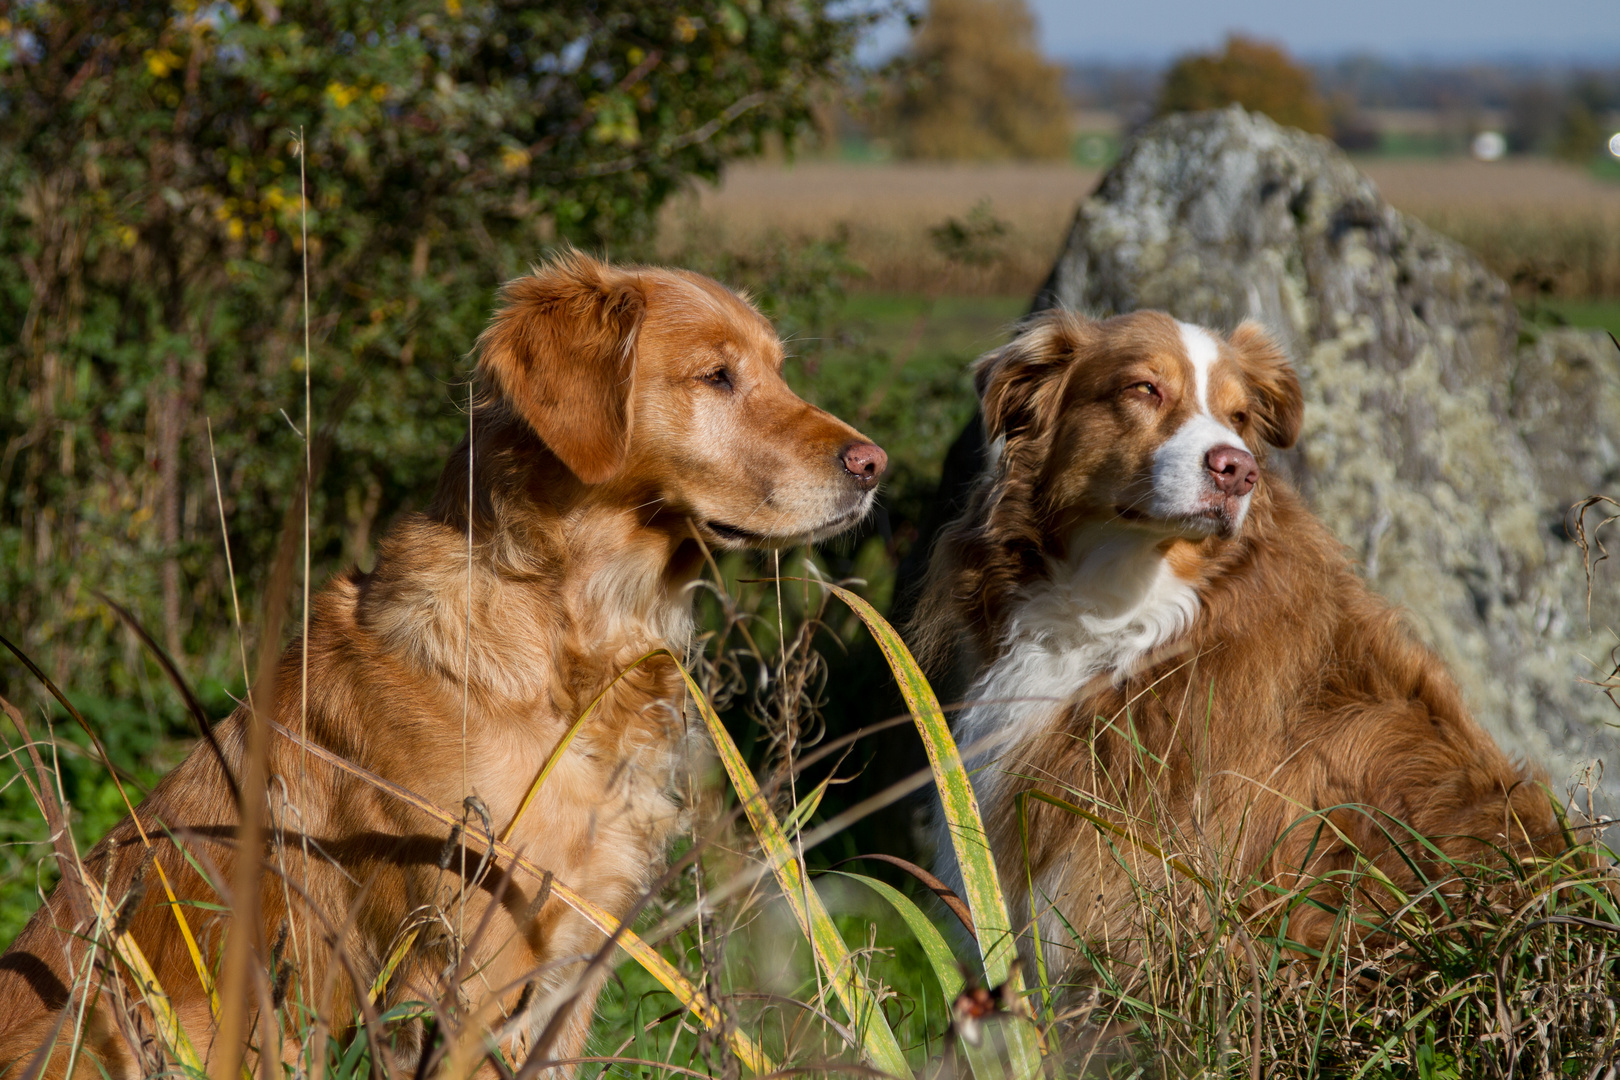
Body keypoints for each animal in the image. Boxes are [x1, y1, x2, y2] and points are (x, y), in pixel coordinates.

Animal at [0, 250, 887, 1075]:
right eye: (716, 376)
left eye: (778, 370)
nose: (874, 465)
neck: (568, 650)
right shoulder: (464, 975)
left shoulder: (575, 961)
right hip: (133, 1027)